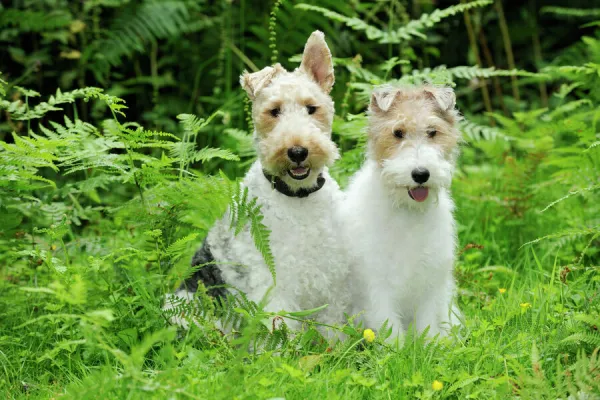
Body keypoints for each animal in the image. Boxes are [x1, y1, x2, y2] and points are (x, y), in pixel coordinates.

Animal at [166, 30, 350, 334]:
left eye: (312, 108)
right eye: (274, 111)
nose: (297, 151)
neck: (298, 198)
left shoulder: (332, 281)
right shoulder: (273, 286)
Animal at [340, 84, 462, 340]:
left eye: (432, 132)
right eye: (397, 133)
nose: (421, 174)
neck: (407, 211)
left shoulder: (428, 284)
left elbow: (427, 328)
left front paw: (429, 346)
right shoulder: (378, 285)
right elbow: (390, 330)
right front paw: (396, 349)